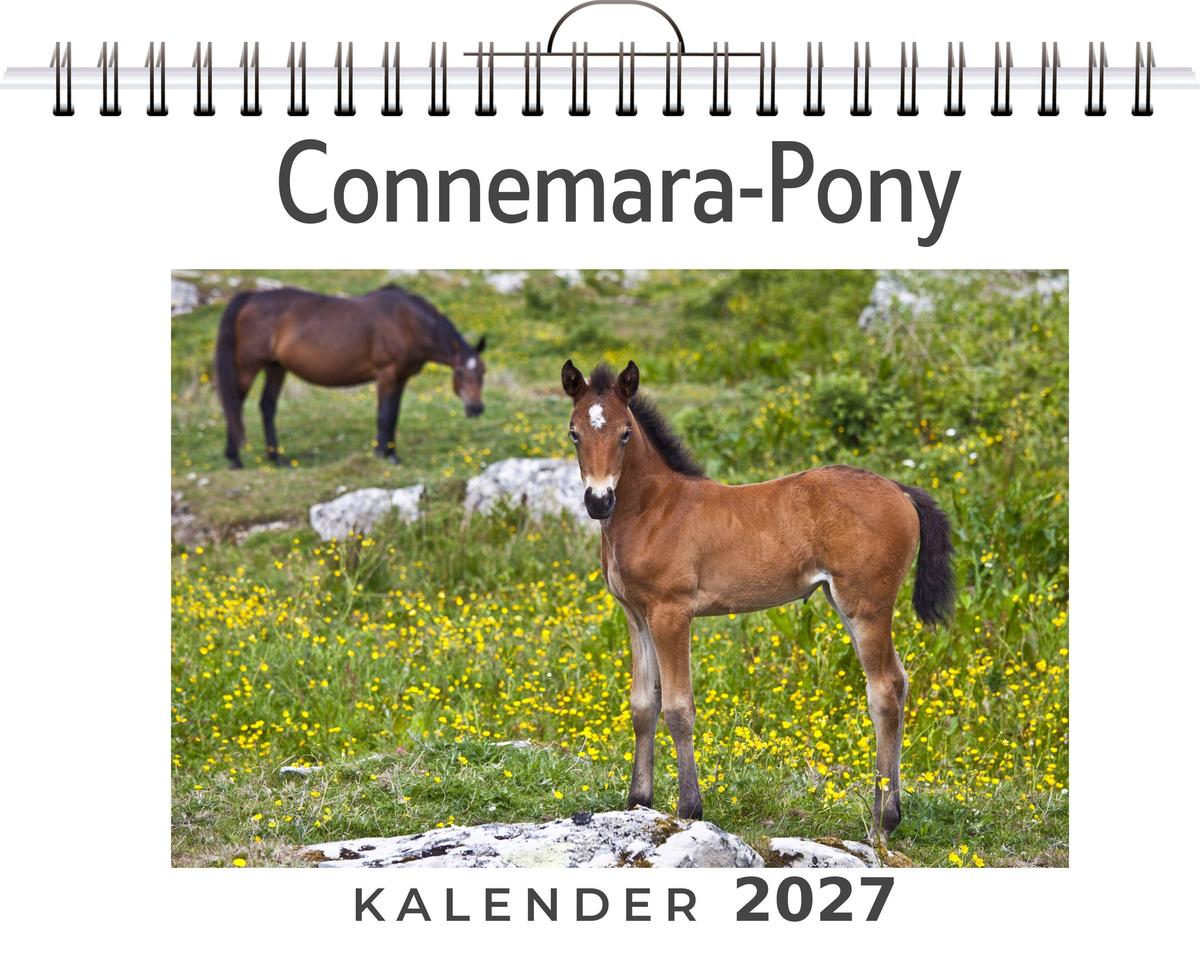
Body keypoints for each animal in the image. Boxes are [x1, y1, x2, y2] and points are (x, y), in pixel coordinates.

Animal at [214, 284, 487, 469]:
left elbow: (393, 415)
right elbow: (385, 416)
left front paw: (388, 453)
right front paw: (386, 456)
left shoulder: (400, 378)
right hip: (248, 366)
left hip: (275, 367)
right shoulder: (387, 374)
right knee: (235, 405)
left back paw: (277, 458)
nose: (476, 409)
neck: (407, 322)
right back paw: (234, 458)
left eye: (483, 372)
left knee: (267, 407)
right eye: (460, 372)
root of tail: (251, 297)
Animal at [561, 359, 955, 843]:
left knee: (883, 689)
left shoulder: (672, 612)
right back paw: (891, 813)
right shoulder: (636, 613)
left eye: (625, 433)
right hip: (846, 602)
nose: (599, 501)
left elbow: (677, 708)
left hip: (867, 605)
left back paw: (882, 821)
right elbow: (643, 706)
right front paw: (638, 802)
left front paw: (689, 808)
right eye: (574, 433)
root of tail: (900, 490)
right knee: (898, 680)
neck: (654, 509)